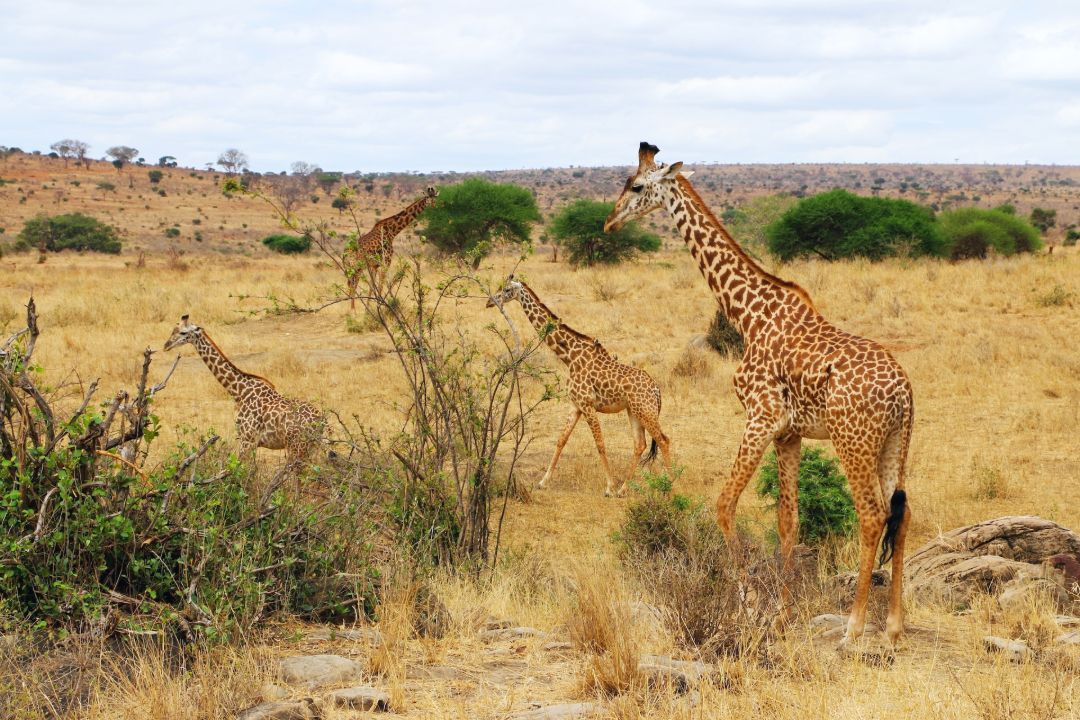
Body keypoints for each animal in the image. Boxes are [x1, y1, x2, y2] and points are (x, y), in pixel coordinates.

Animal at [162, 317, 324, 481]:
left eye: (183, 332)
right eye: (173, 330)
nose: (166, 346)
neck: (239, 391)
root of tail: (322, 421)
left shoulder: (248, 440)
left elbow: (241, 472)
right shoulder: (251, 442)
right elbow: (248, 471)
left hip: (297, 446)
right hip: (310, 447)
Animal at [488, 276, 669, 496]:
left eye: (506, 290)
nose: (490, 301)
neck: (569, 357)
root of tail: (656, 390)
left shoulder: (587, 404)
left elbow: (600, 444)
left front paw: (609, 487)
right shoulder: (575, 405)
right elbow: (561, 440)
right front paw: (543, 482)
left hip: (646, 411)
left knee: (663, 440)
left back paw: (671, 483)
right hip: (634, 411)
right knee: (640, 444)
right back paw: (624, 489)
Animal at [604, 142, 915, 647]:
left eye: (635, 186)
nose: (609, 223)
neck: (749, 315)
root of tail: (904, 392)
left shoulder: (759, 417)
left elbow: (724, 505)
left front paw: (749, 605)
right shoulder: (789, 433)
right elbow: (787, 522)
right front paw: (783, 616)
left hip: (854, 441)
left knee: (871, 515)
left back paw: (853, 626)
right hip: (893, 444)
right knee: (899, 514)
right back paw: (893, 625)